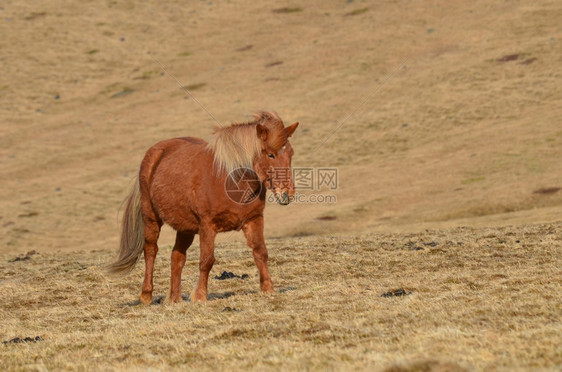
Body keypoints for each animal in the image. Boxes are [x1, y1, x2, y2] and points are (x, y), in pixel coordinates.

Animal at [106, 112, 298, 304]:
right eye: (271, 155)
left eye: (291, 153)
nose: (287, 194)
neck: (231, 180)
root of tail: (155, 152)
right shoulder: (207, 225)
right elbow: (207, 260)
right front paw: (199, 296)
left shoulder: (254, 220)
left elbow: (261, 252)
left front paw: (268, 289)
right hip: (151, 217)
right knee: (151, 251)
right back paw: (146, 295)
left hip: (185, 228)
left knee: (177, 257)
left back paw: (175, 298)